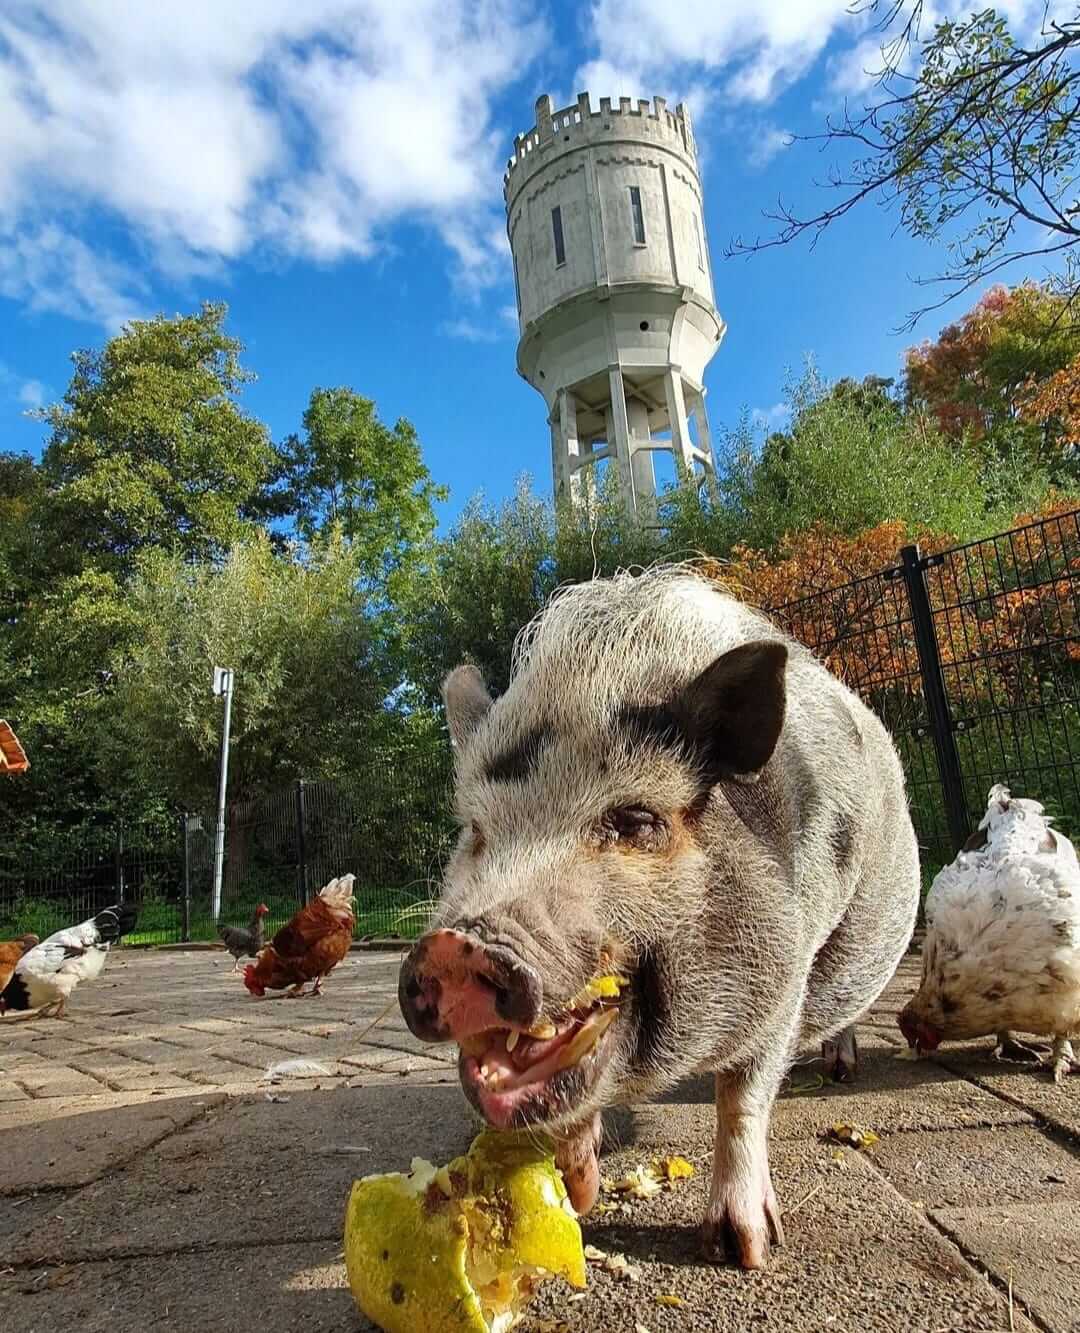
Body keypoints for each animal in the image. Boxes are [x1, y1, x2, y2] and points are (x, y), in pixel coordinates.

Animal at [397, 565, 917, 1269]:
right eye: (476, 831)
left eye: (637, 821)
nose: (458, 945)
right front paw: (578, 1196)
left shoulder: (786, 974)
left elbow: (744, 1096)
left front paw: (743, 1250)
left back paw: (840, 1070)